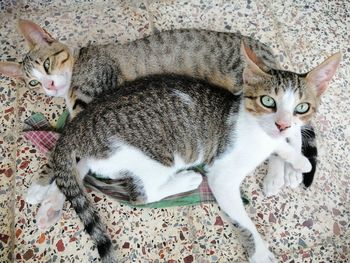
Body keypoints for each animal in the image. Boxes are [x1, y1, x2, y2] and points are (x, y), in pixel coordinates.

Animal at [36, 43, 340, 263]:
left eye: (301, 107)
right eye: (268, 101)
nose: (282, 124)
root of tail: (76, 127)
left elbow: (283, 145)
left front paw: (299, 160)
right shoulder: (222, 176)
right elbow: (244, 220)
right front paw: (261, 252)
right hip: (155, 156)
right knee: (142, 194)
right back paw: (188, 179)